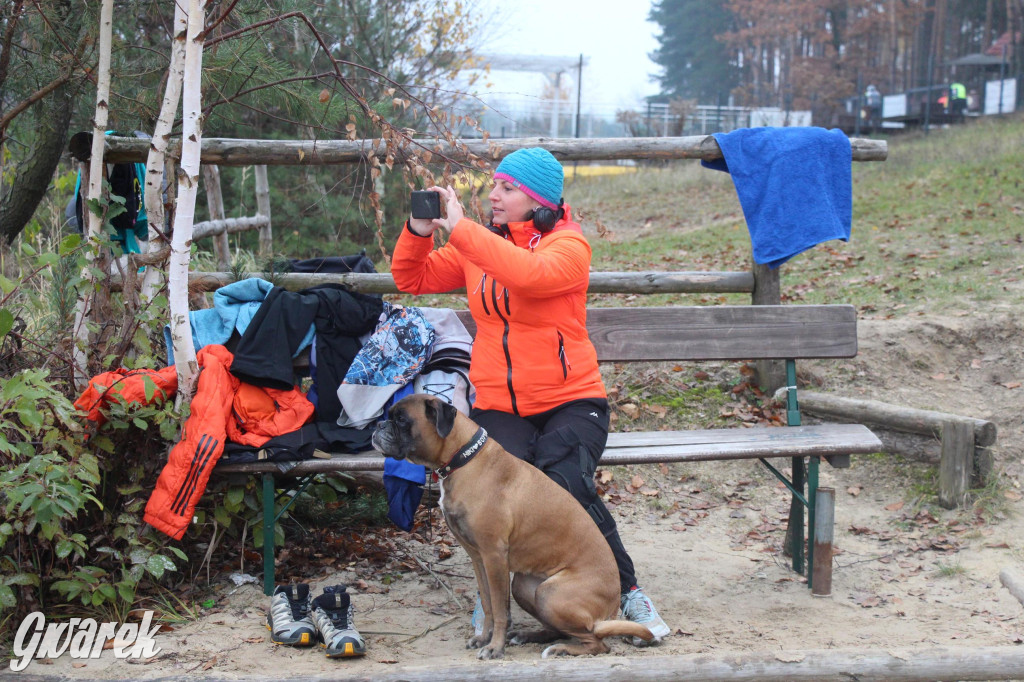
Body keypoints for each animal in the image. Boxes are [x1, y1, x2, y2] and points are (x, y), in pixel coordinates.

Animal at [372, 395, 651, 655]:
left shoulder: (494, 556)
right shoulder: (478, 558)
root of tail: (610, 610)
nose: (378, 424)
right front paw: (484, 638)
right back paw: (529, 636)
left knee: (597, 643)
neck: (464, 459)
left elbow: (499, 609)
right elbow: (488, 604)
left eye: (401, 420)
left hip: (551, 594)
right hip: (525, 588)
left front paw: (495, 647)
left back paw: (561, 649)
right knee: (562, 630)